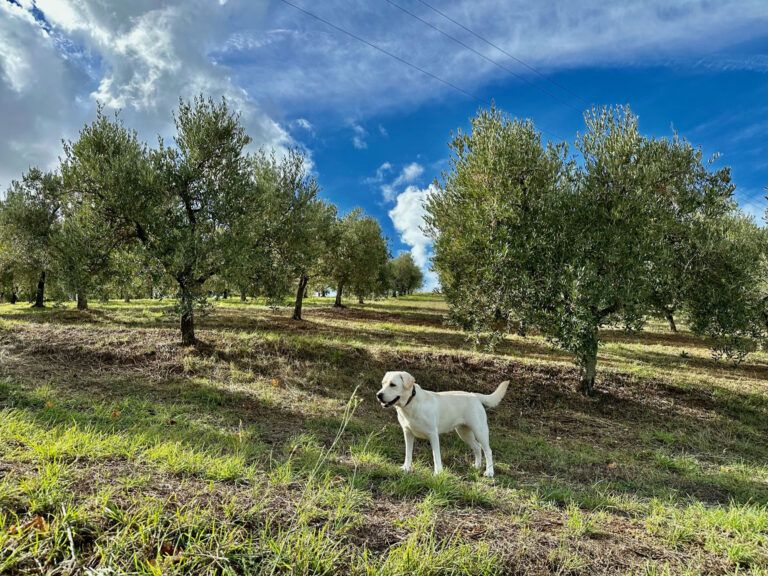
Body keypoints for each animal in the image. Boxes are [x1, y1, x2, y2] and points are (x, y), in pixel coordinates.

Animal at [376, 374, 508, 476]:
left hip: (480, 430)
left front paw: (438, 473)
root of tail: (474, 395)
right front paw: (406, 468)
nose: (378, 395)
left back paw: (489, 472)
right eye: (382, 384)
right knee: (477, 447)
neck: (411, 403)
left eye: (393, 385)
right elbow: (408, 453)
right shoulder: (407, 433)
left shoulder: (433, 434)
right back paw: (477, 466)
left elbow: (436, 455)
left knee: (488, 450)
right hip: (463, 433)